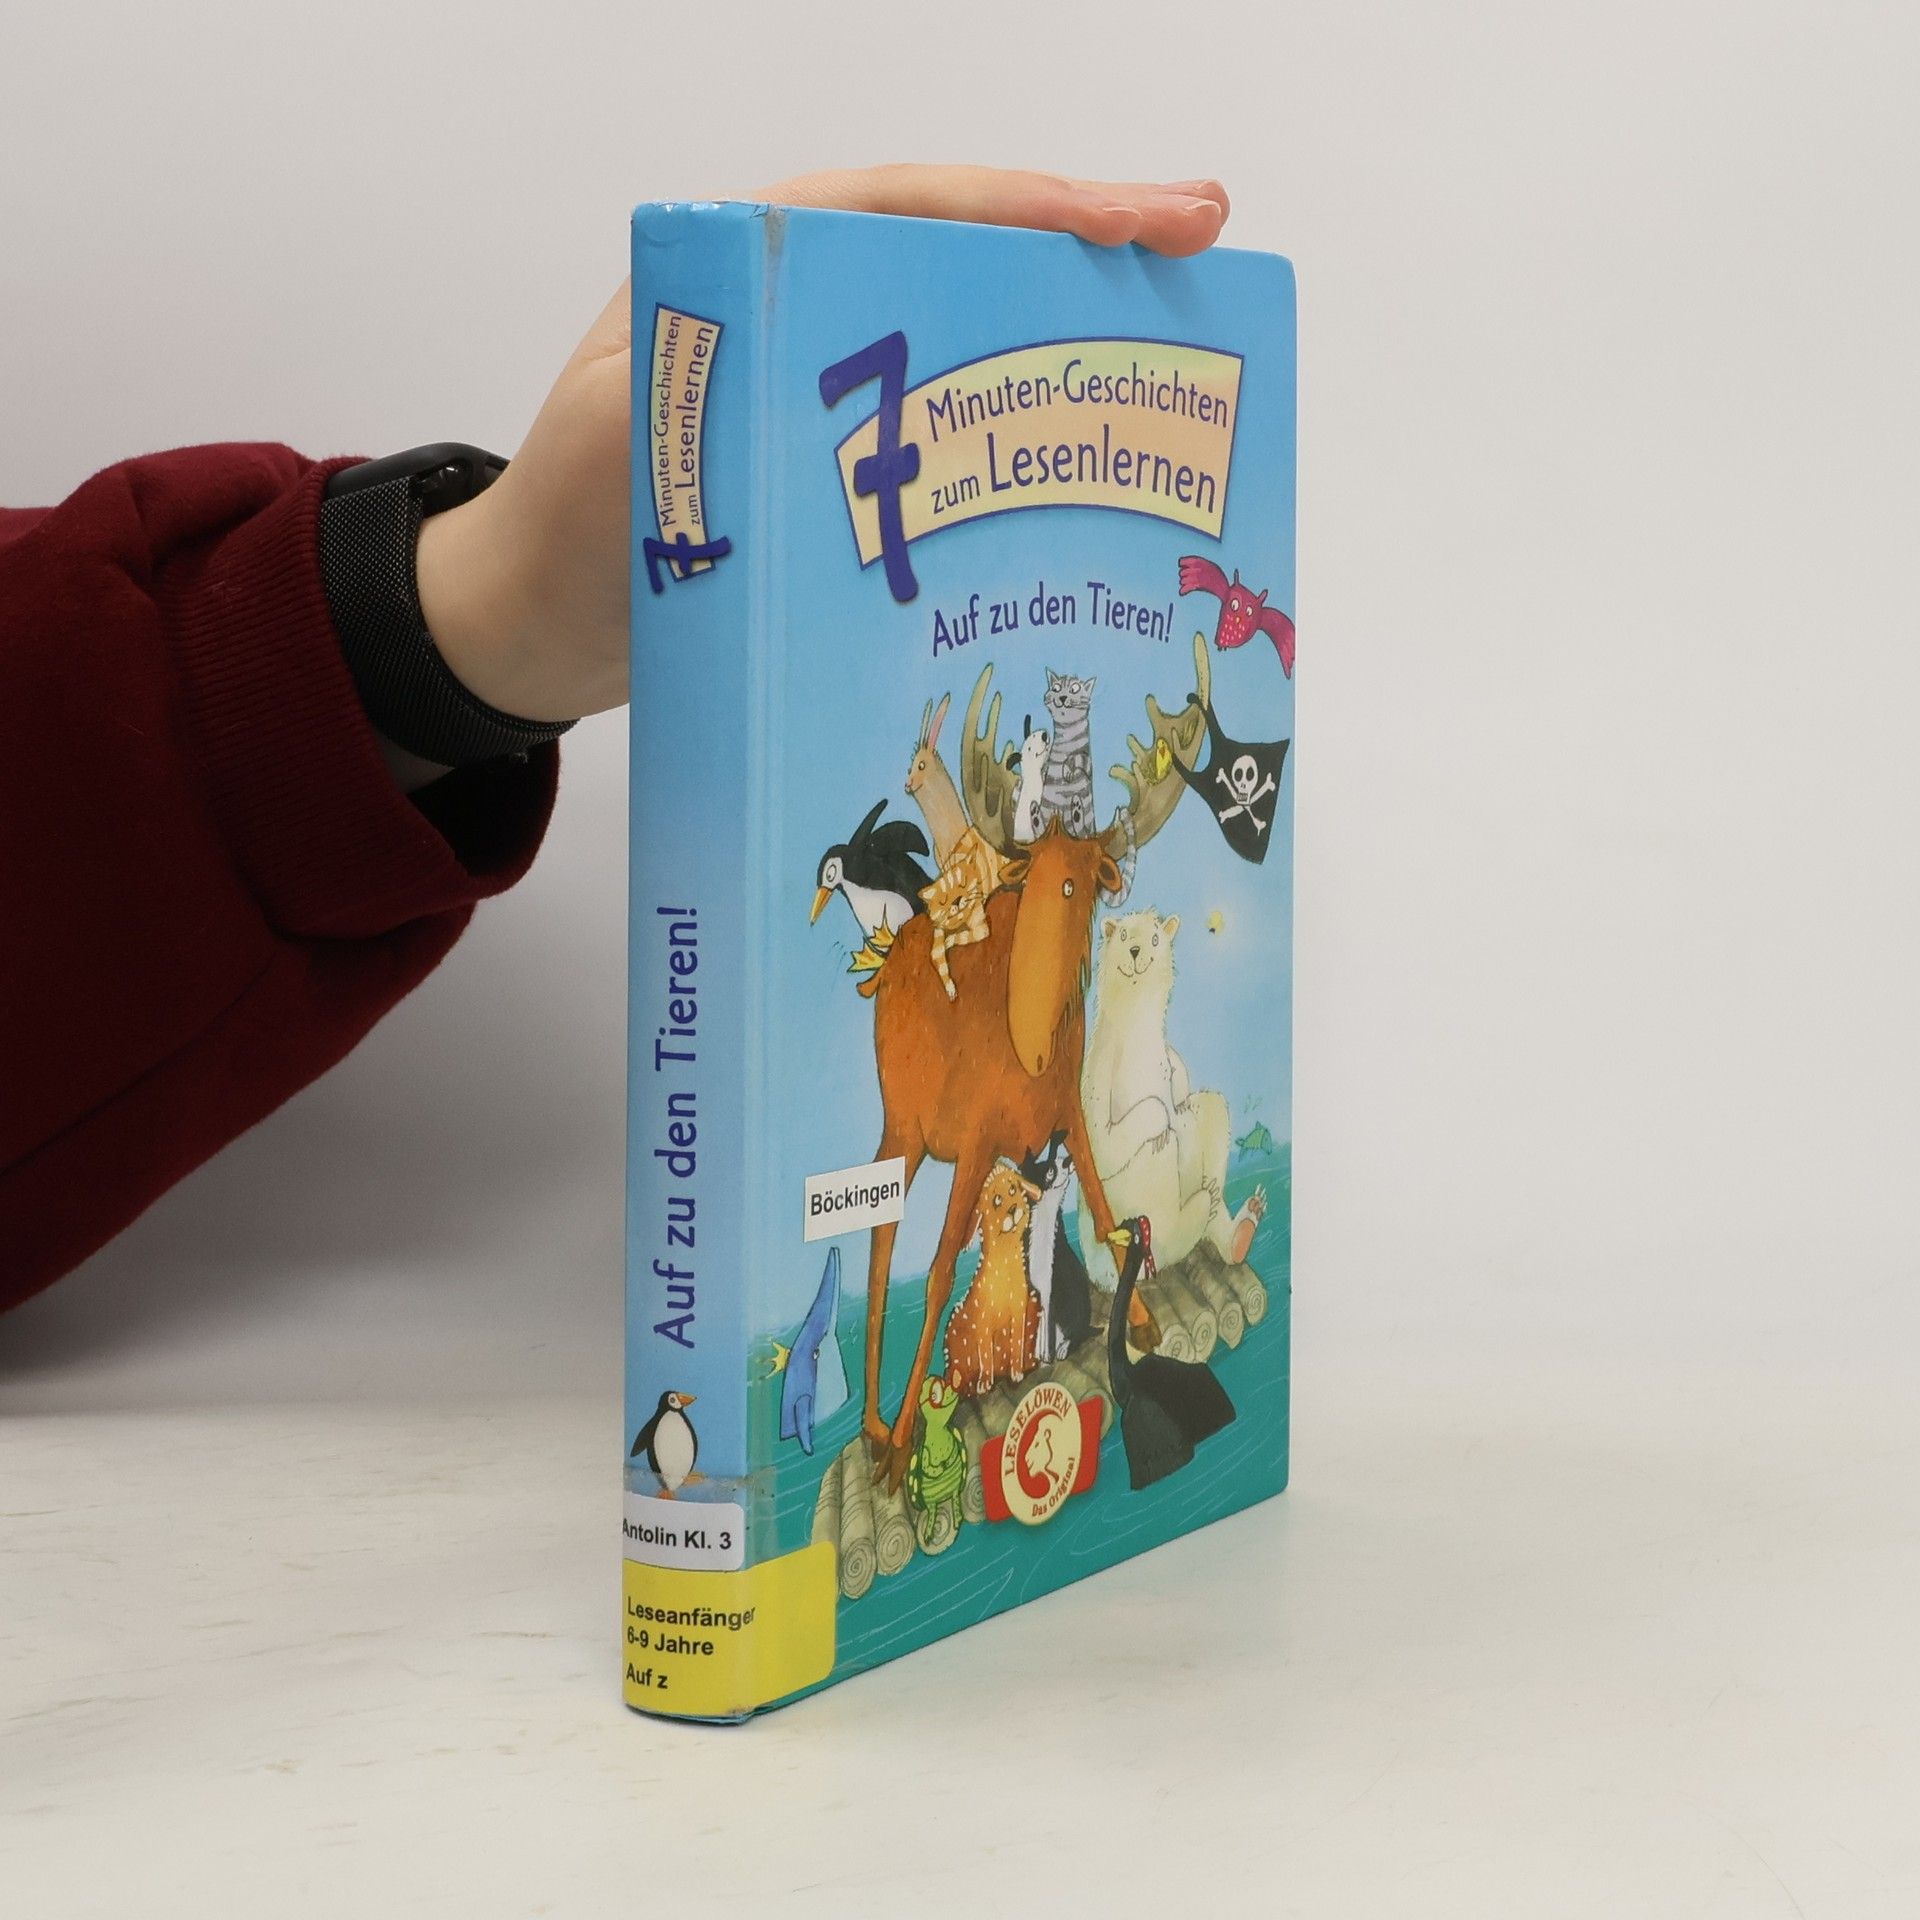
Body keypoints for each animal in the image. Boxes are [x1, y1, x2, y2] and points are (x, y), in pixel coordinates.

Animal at [1038, 670, 1096, 838]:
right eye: (1056, 689)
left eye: (1074, 689)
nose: (1063, 697)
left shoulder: (1088, 763)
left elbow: (1079, 758)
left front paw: (1067, 771)